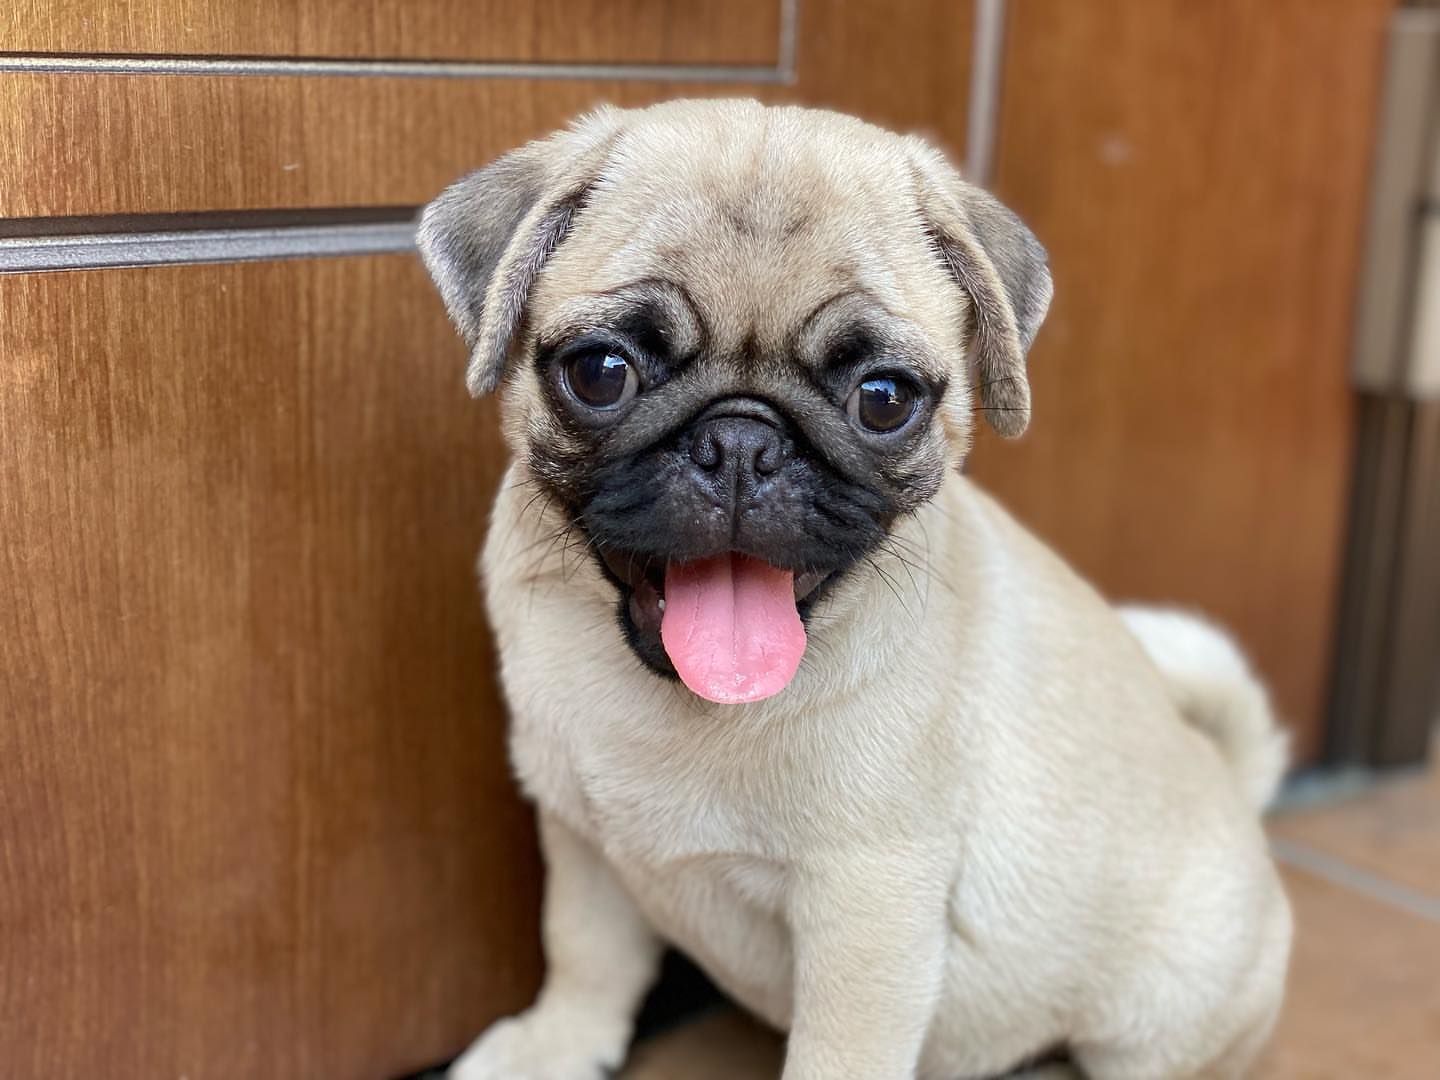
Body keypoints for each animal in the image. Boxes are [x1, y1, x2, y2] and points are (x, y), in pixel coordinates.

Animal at [417, 99, 1292, 1079]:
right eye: (601, 373)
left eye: (884, 398)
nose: (741, 442)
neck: (677, 710)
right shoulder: (582, 838)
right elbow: (583, 953)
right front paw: (554, 1046)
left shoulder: (867, 908)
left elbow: (837, 1052)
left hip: (1161, 1016)